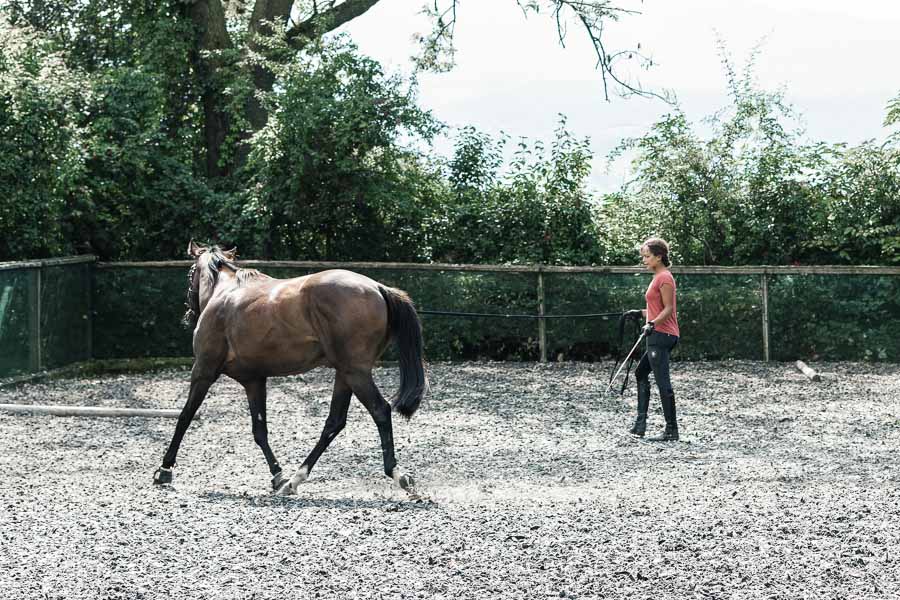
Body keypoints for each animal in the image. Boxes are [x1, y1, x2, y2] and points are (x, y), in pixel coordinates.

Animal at [151, 241, 426, 494]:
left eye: (190, 273)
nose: (189, 314)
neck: (224, 294)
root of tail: (378, 288)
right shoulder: (254, 380)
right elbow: (260, 430)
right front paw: (278, 475)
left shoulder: (203, 371)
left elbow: (185, 416)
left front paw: (164, 470)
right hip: (345, 374)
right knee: (334, 422)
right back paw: (295, 480)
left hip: (356, 373)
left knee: (380, 411)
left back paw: (398, 475)